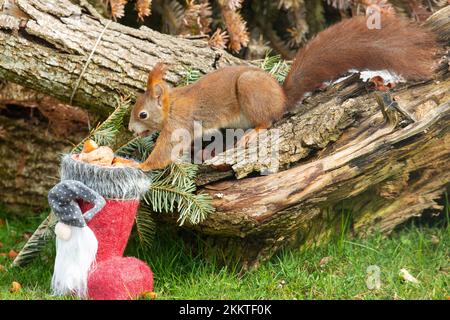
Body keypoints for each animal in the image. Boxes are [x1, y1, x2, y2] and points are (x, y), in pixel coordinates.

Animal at [129, 15, 436, 171]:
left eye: (142, 114)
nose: (130, 130)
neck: (170, 105)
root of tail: (281, 98)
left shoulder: (177, 124)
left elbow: (164, 153)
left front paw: (135, 164)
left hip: (250, 92)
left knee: (267, 121)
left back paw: (252, 133)